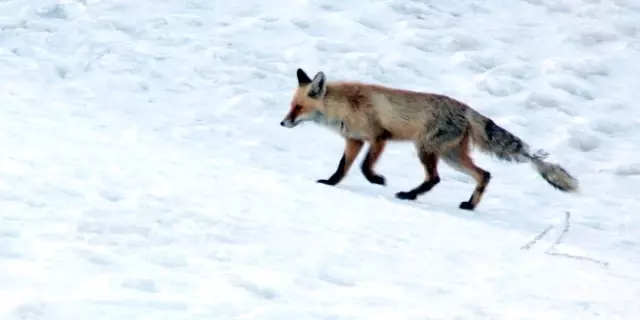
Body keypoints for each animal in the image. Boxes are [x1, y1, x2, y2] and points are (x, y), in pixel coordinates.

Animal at [280, 67, 580, 210]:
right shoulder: (354, 140)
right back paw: (469, 206)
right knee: (483, 174)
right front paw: (329, 183)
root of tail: (466, 109)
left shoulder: (378, 137)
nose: (282, 123)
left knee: (435, 178)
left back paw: (410, 195)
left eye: (298, 108)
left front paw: (377, 180)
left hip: (425, 149)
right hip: (450, 156)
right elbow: (342, 168)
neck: (345, 107)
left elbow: (365, 167)